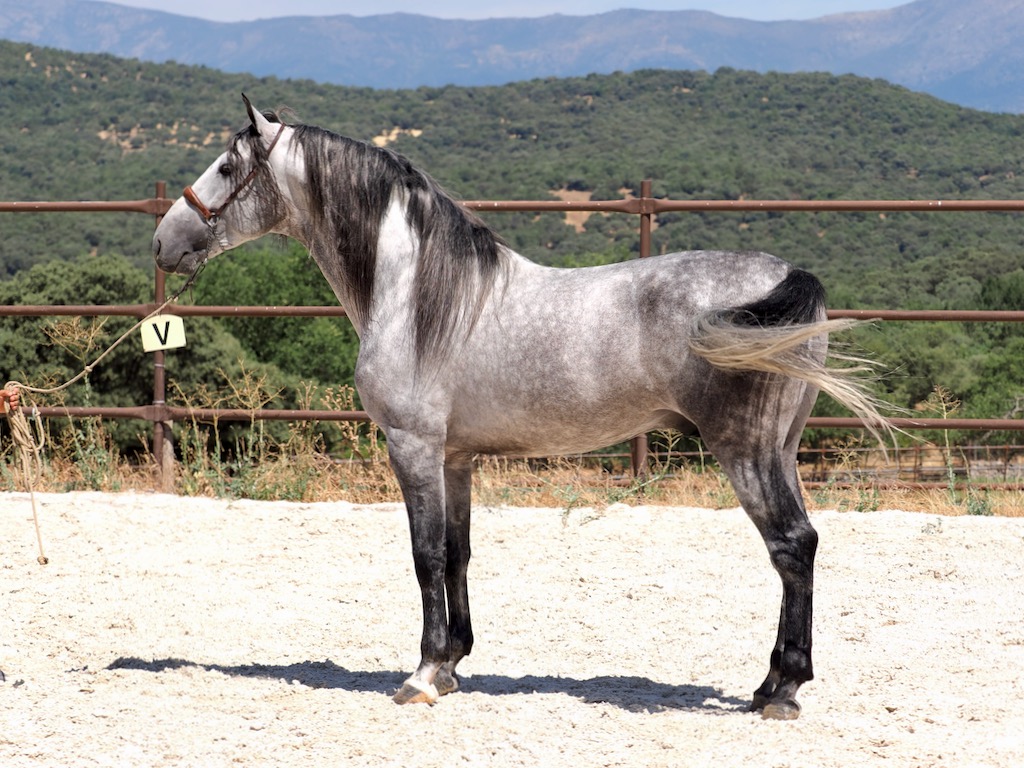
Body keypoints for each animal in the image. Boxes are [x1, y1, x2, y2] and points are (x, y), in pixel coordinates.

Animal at [153, 95, 889, 720]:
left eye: (226, 167)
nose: (164, 243)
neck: (418, 295)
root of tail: (786, 275)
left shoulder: (412, 446)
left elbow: (424, 555)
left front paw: (422, 676)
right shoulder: (455, 457)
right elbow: (456, 553)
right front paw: (452, 664)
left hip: (747, 451)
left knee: (791, 546)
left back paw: (783, 691)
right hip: (781, 449)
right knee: (801, 547)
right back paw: (769, 684)